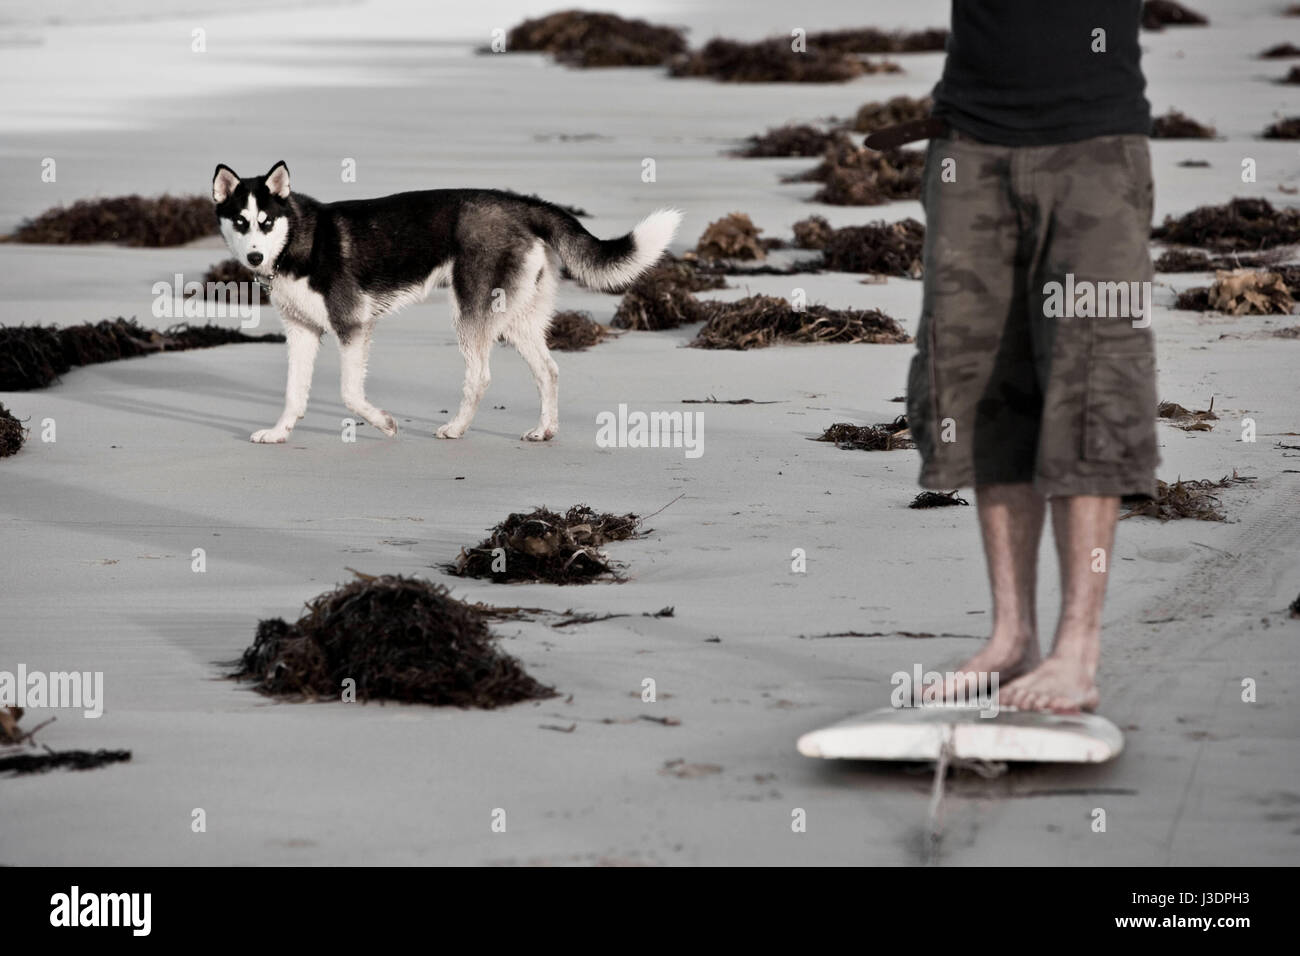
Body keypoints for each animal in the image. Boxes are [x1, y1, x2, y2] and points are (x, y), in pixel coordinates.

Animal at [210, 161, 681, 444]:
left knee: (480, 377)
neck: (296, 240)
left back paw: (456, 428)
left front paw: (384, 423)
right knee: (548, 370)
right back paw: (544, 430)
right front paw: (279, 433)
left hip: (472, 313)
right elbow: (294, 394)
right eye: (241, 222)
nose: (255, 257)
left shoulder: (352, 325)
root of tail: (521, 204)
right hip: (516, 319)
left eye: (266, 222)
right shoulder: (302, 332)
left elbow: (349, 394)